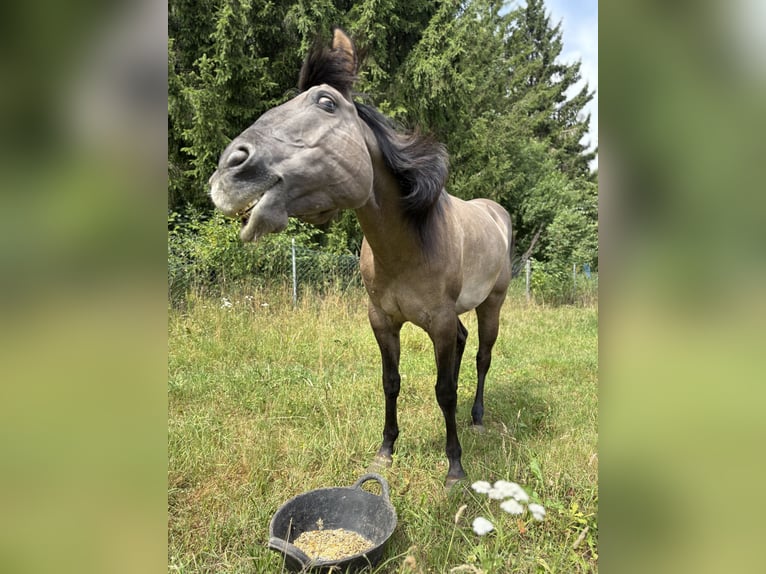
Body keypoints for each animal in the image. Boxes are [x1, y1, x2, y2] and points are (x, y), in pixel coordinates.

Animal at [209, 29, 513, 486]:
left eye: (326, 103)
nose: (227, 172)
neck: (409, 244)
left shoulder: (439, 322)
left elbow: (444, 390)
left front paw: (455, 467)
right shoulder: (382, 320)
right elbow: (391, 382)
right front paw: (385, 452)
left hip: (491, 304)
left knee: (481, 357)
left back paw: (475, 418)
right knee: (464, 347)